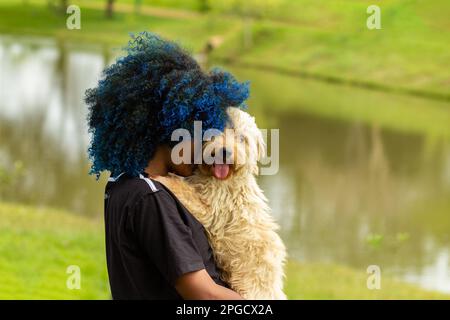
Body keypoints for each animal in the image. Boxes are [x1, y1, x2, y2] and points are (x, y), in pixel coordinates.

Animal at [156, 107, 286, 300]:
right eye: (213, 132)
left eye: (242, 138)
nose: (225, 152)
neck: (223, 179)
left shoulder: (213, 210)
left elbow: (186, 191)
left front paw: (164, 179)